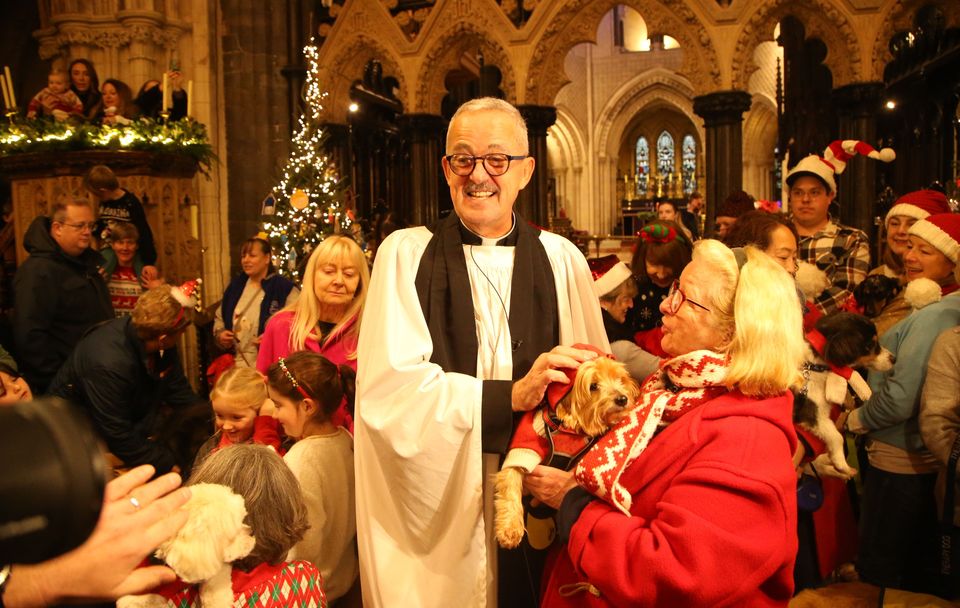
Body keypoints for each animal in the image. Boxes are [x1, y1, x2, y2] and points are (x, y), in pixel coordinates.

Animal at [792, 314, 896, 480]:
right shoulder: (812, 416)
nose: (894, 359)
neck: (815, 367)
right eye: (870, 345)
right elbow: (837, 437)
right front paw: (840, 462)